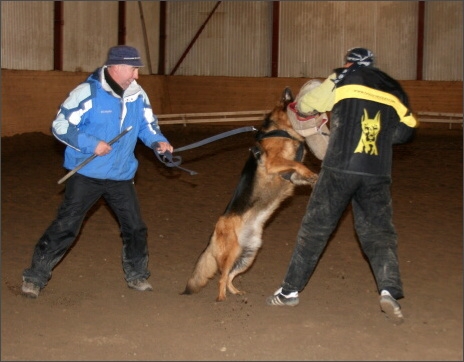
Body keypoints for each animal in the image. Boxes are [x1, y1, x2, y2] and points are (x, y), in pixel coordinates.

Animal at [183, 87, 320, 302]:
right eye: (295, 101)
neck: (282, 130)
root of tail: (215, 231)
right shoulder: (274, 163)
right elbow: (297, 163)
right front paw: (312, 173)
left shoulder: (290, 175)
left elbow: (301, 170)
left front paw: (314, 178)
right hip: (233, 253)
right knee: (222, 276)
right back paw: (221, 298)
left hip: (247, 255)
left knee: (230, 276)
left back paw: (235, 292)